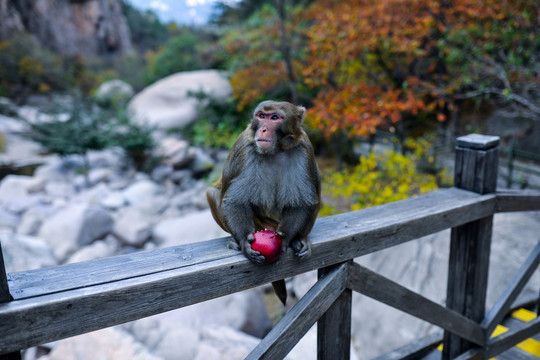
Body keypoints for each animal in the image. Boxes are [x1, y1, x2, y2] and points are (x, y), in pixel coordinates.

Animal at [207, 100, 320, 304]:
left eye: (274, 117)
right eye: (261, 116)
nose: (264, 129)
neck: (277, 150)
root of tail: (268, 226)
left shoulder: (303, 148)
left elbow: (302, 203)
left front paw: (286, 239)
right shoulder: (246, 147)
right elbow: (235, 201)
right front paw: (245, 242)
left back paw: (300, 239)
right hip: (260, 223)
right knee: (214, 192)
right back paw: (234, 240)